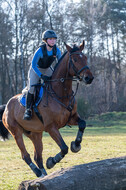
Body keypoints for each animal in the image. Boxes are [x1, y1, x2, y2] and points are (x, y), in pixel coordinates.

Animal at [0, 40, 93, 178]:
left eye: (85, 58)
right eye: (75, 59)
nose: (89, 78)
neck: (60, 93)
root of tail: (6, 106)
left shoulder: (71, 118)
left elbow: (82, 124)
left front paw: (76, 145)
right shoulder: (51, 127)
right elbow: (64, 148)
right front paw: (52, 161)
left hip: (35, 133)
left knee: (37, 156)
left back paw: (44, 174)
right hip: (16, 132)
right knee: (25, 155)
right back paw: (39, 173)